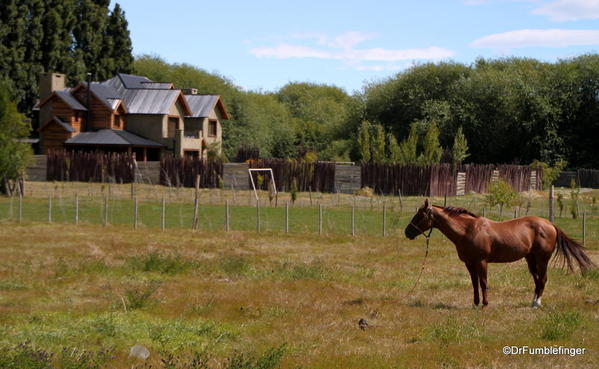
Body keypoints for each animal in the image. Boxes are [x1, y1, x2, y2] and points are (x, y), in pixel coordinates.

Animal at [406, 200, 596, 306]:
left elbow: (483, 283)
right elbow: (474, 283)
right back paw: (532, 302)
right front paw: (475, 303)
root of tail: (550, 224)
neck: (468, 230)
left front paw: (485, 304)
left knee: (542, 279)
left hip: (542, 259)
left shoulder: (481, 262)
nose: (407, 232)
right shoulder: (469, 263)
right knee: (536, 280)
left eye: (420, 216)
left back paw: (537, 303)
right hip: (530, 259)